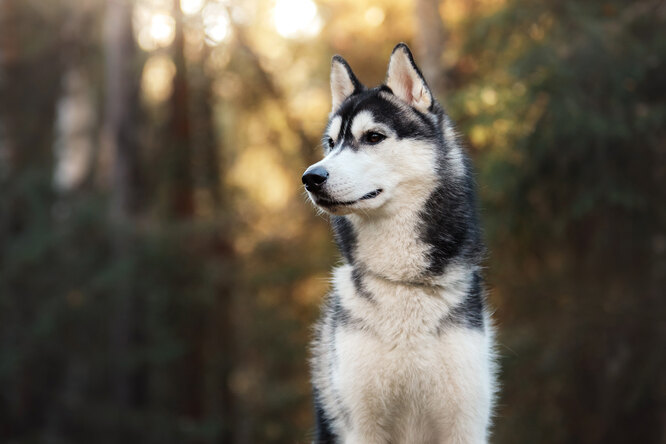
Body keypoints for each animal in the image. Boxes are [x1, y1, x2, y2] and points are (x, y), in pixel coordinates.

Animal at [304, 42, 496, 444]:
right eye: (331, 143)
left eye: (373, 137)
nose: (311, 177)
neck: (403, 283)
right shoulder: (361, 425)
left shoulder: (464, 422)